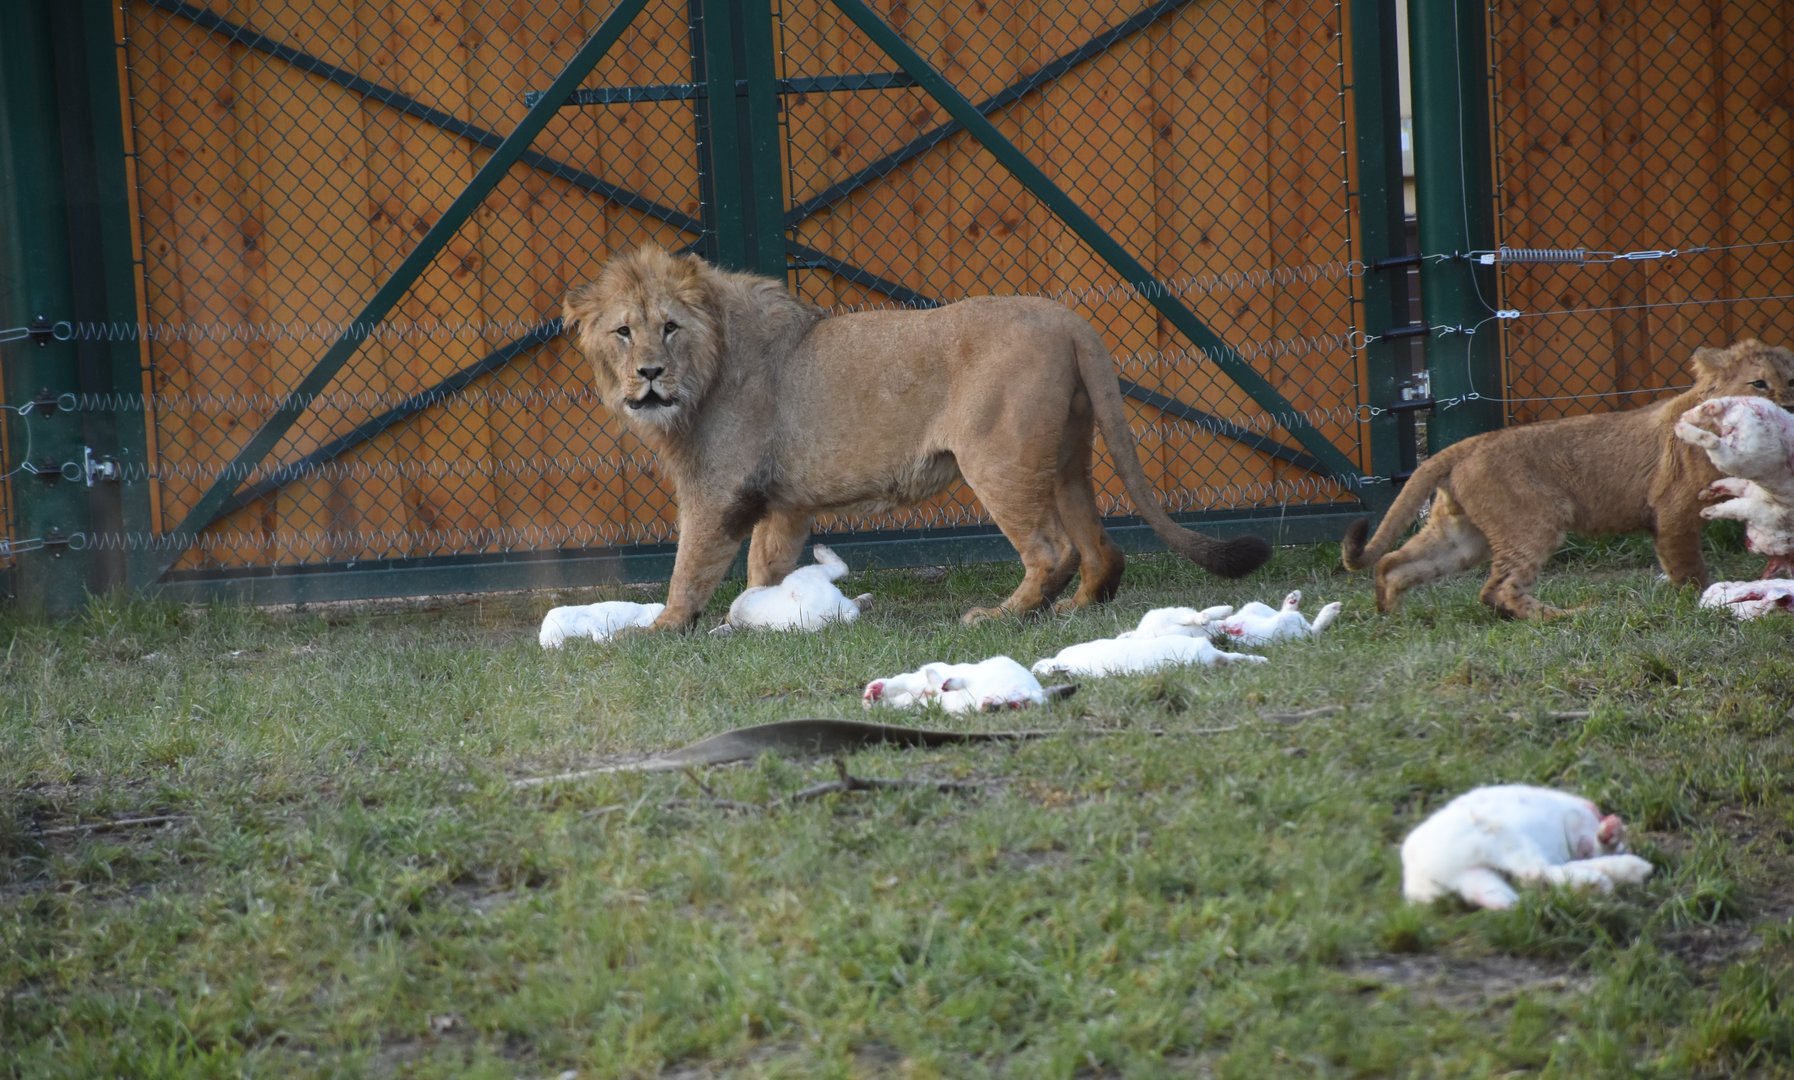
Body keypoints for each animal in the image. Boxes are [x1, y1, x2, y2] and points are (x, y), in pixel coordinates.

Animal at [561, 246, 1272, 631]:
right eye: (623, 332)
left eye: (668, 327)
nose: (650, 374)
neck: (708, 365)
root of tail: (1068, 318)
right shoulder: (786, 503)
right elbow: (767, 566)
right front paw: (766, 611)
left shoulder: (717, 493)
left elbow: (688, 568)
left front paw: (661, 628)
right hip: (1070, 456)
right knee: (1103, 549)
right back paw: (1076, 609)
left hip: (998, 458)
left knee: (1053, 549)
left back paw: (1004, 616)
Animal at [1340, 339, 1794, 619]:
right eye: (1759, 383)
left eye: (1791, 379)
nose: (1790, 403)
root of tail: (1467, 445)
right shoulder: (1673, 511)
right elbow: (1688, 567)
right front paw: (1698, 600)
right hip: (1534, 522)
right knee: (1499, 590)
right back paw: (1570, 615)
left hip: (1462, 537)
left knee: (1395, 564)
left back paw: (1391, 616)